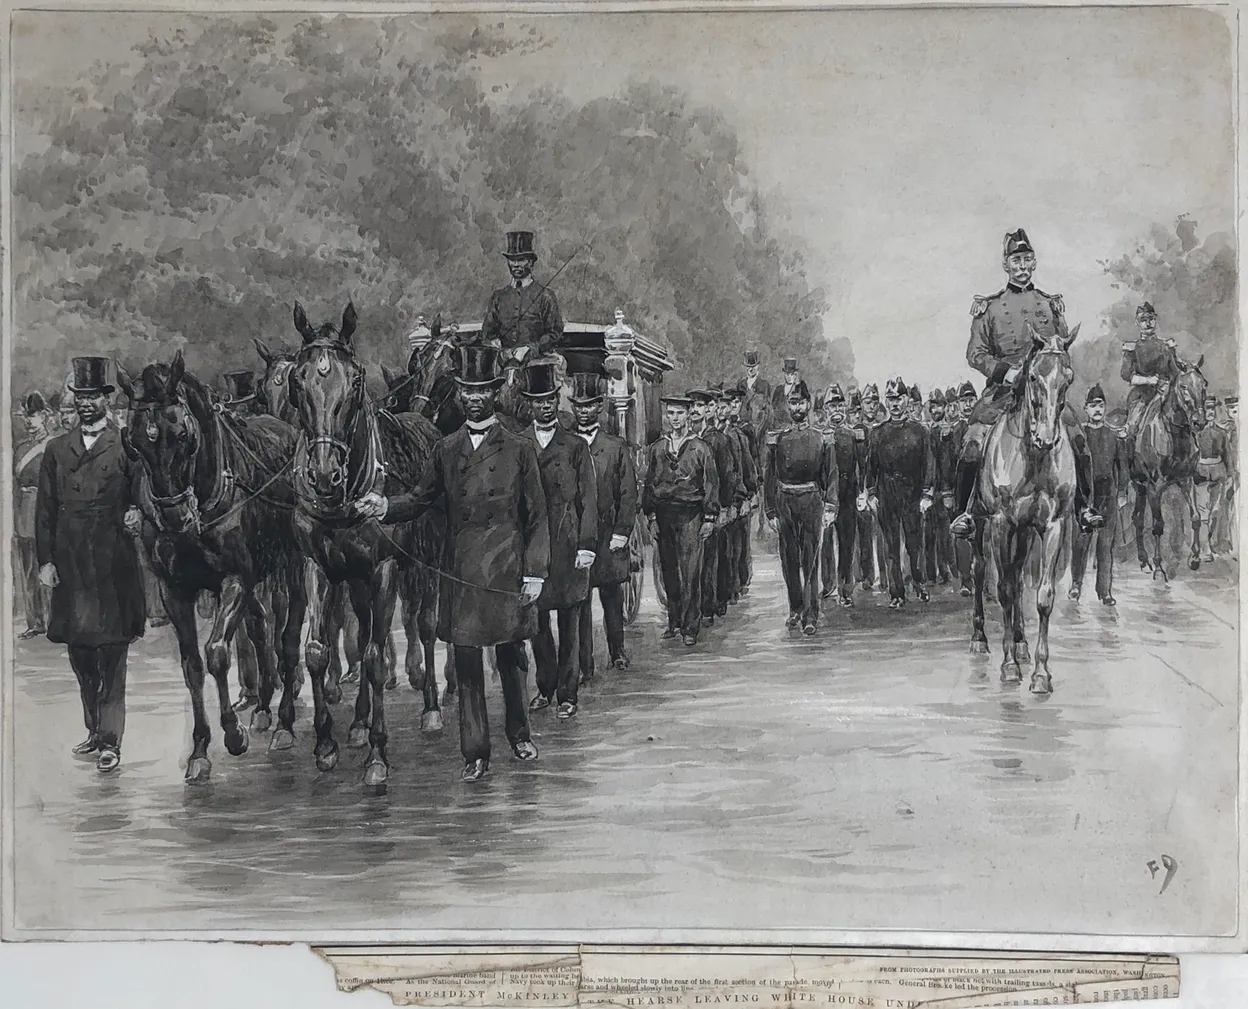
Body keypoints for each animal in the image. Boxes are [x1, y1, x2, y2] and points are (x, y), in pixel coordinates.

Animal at [116, 349, 305, 784]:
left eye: (182, 436)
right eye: (134, 442)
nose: (173, 517)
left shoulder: (235, 579)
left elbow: (217, 651)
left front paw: (232, 734)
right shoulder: (174, 590)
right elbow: (192, 665)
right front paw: (200, 748)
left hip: (291, 562)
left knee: (288, 629)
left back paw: (284, 719)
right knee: (260, 625)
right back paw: (264, 704)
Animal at [285, 299, 446, 789]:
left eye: (354, 381)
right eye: (297, 380)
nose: (323, 474)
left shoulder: (384, 568)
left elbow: (375, 657)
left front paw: (378, 754)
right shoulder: (318, 566)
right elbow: (319, 649)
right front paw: (326, 744)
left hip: (427, 562)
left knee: (425, 625)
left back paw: (432, 707)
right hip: (353, 578)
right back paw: (355, 723)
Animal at [963, 322, 1083, 694]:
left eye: (1068, 378)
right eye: (1032, 376)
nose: (1047, 438)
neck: (1033, 456)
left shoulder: (1052, 526)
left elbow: (1042, 596)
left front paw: (1041, 673)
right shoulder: (1002, 524)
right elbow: (1002, 590)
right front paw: (1008, 667)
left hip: (1026, 534)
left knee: (1017, 578)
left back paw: (1021, 643)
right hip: (983, 527)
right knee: (980, 571)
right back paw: (980, 638)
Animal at [1133, 357, 1208, 579]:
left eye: (1204, 385)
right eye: (1183, 386)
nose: (1199, 422)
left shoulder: (1186, 480)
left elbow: (1195, 517)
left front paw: (1194, 559)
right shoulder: (1155, 486)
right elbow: (1158, 525)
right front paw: (1159, 568)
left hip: (1141, 487)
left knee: (1137, 519)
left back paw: (1143, 560)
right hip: (1136, 484)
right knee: (1139, 519)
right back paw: (1146, 561)